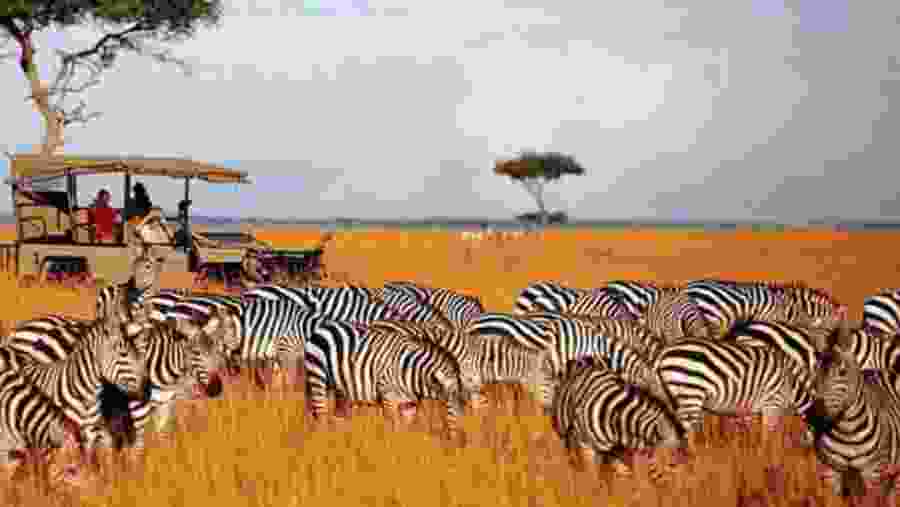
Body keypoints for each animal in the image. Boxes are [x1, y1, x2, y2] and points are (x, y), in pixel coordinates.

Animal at [305, 319, 468, 436]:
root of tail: (324, 327)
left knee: (336, 414)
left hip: (338, 386)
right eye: (450, 407)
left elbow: (404, 430)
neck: (411, 371)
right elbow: (393, 427)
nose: (462, 442)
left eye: (463, 408)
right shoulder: (388, 396)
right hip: (317, 374)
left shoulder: (409, 403)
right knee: (321, 413)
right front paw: (389, 452)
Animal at [549, 356, 689, 484]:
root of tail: (584, 358)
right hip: (565, 430)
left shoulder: (622, 448)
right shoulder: (587, 445)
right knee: (571, 452)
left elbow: (624, 472)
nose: (681, 490)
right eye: (672, 464)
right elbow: (594, 477)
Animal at [653, 338, 815, 448]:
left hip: (673, 394)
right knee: (688, 427)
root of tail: (664, 353)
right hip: (691, 392)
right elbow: (768, 436)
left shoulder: (750, 409)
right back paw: (695, 458)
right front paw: (766, 458)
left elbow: (752, 433)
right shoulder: (773, 403)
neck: (792, 384)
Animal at [810, 341, 900, 501]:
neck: (848, 431)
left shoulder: (874, 472)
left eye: (842, 372)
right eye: (816, 370)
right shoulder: (830, 471)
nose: (816, 415)